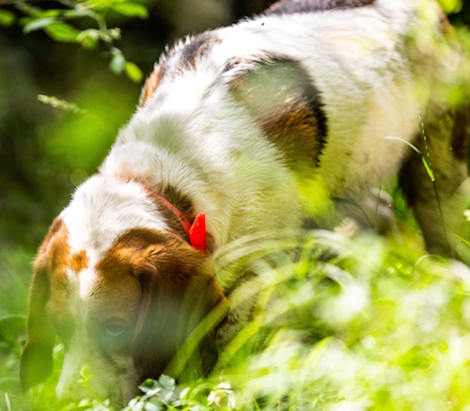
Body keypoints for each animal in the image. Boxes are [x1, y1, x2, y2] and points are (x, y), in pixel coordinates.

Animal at [18, 0, 466, 408]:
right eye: (57, 326)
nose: (69, 403)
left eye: (115, 328)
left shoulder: (254, 276)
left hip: (438, 175)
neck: (167, 170)